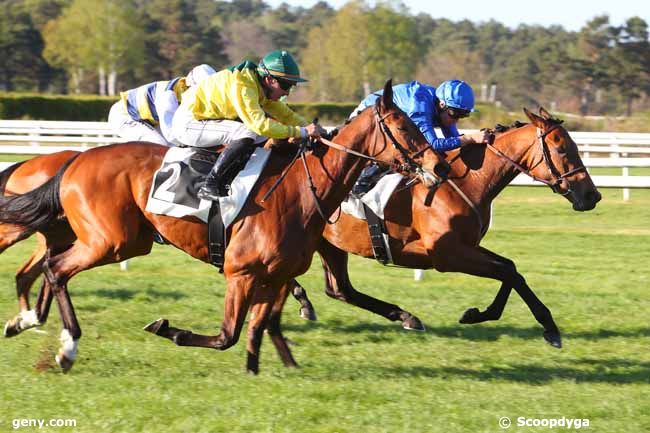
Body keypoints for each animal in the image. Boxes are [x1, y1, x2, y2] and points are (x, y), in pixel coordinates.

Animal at [0, 80, 438, 372]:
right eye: (404, 127)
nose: (437, 167)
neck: (300, 188)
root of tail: (76, 159)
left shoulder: (274, 276)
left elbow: (254, 332)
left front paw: (262, 370)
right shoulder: (240, 272)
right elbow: (229, 335)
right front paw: (170, 329)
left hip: (111, 238)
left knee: (48, 268)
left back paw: (28, 321)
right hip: (111, 241)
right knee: (56, 270)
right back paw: (65, 346)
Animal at [292, 108, 600, 348]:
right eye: (562, 149)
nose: (592, 196)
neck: (465, 182)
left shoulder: (468, 246)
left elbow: (510, 269)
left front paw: (479, 314)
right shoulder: (447, 255)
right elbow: (507, 273)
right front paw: (549, 327)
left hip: (330, 243)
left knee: (340, 289)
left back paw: (405, 317)